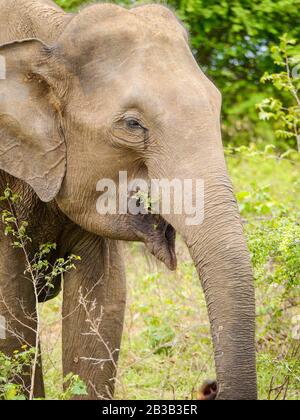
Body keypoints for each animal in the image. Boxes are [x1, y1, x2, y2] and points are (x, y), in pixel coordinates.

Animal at [0, 0, 256, 400]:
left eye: (217, 105)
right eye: (133, 125)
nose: (209, 385)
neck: (53, 36)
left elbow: (103, 302)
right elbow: (11, 308)